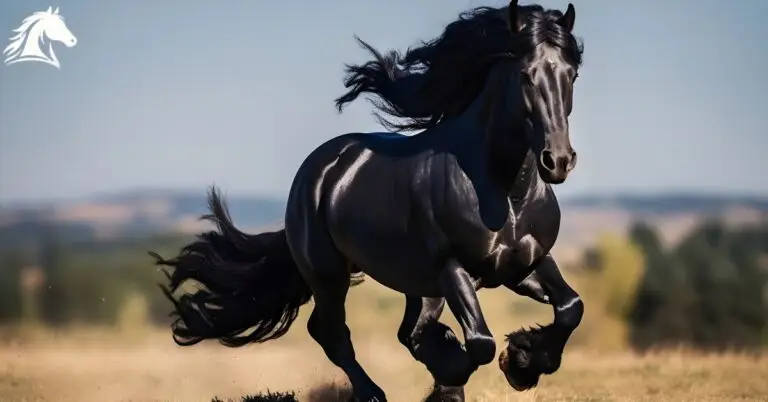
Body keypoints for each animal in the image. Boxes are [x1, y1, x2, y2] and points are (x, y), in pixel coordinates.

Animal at [150, 1, 585, 401]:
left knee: (406, 331)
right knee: (332, 333)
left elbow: (570, 308)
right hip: (329, 273)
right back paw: (374, 392)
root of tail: (320, 167)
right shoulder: (452, 268)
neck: (504, 193)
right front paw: (472, 369)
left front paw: (523, 362)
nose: (558, 161)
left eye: (572, 74)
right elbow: (479, 343)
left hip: (415, 284)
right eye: (525, 75)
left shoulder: (524, 264)